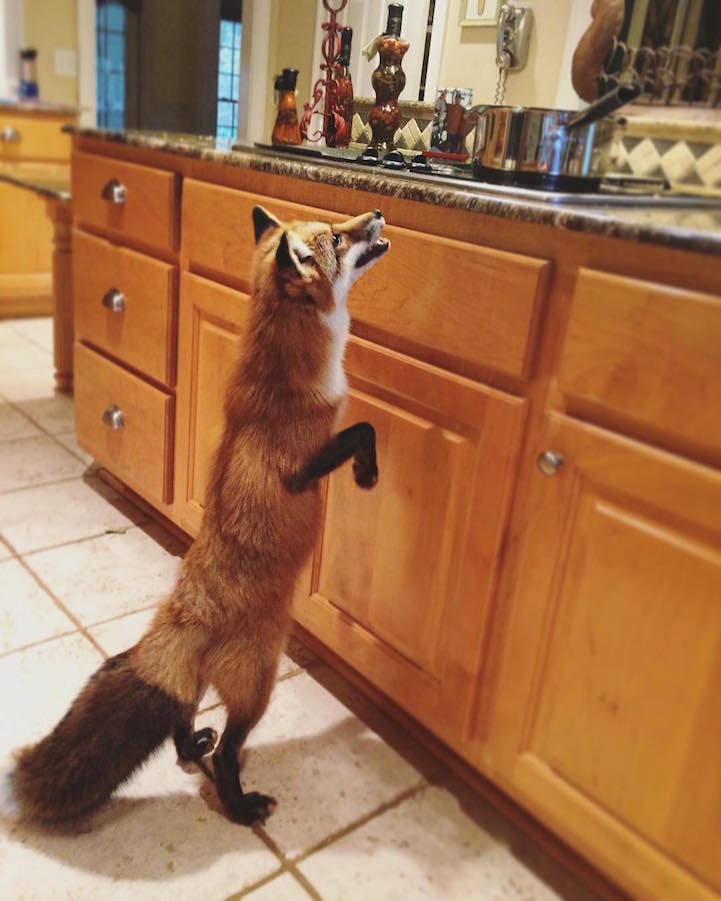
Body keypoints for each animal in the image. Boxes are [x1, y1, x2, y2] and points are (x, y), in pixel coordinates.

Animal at [1, 205, 390, 828]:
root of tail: (184, 616)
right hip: (260, 683)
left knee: (179, 720)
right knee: (229, 750)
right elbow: (363, 428)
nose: (376, 212)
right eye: (335, 236)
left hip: (207, 685)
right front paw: (367, 473)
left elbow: (363, 426)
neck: (286, 367)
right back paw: (241, 804)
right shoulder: (301, 466)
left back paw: (192, 747)